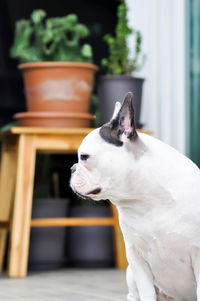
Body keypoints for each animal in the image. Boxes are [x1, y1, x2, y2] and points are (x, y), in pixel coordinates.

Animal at [70, 92, 200, 300]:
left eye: (84, 157)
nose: (72, 168)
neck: (147, 200)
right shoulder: (136, 258)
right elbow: (146, 292)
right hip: (131, 274)